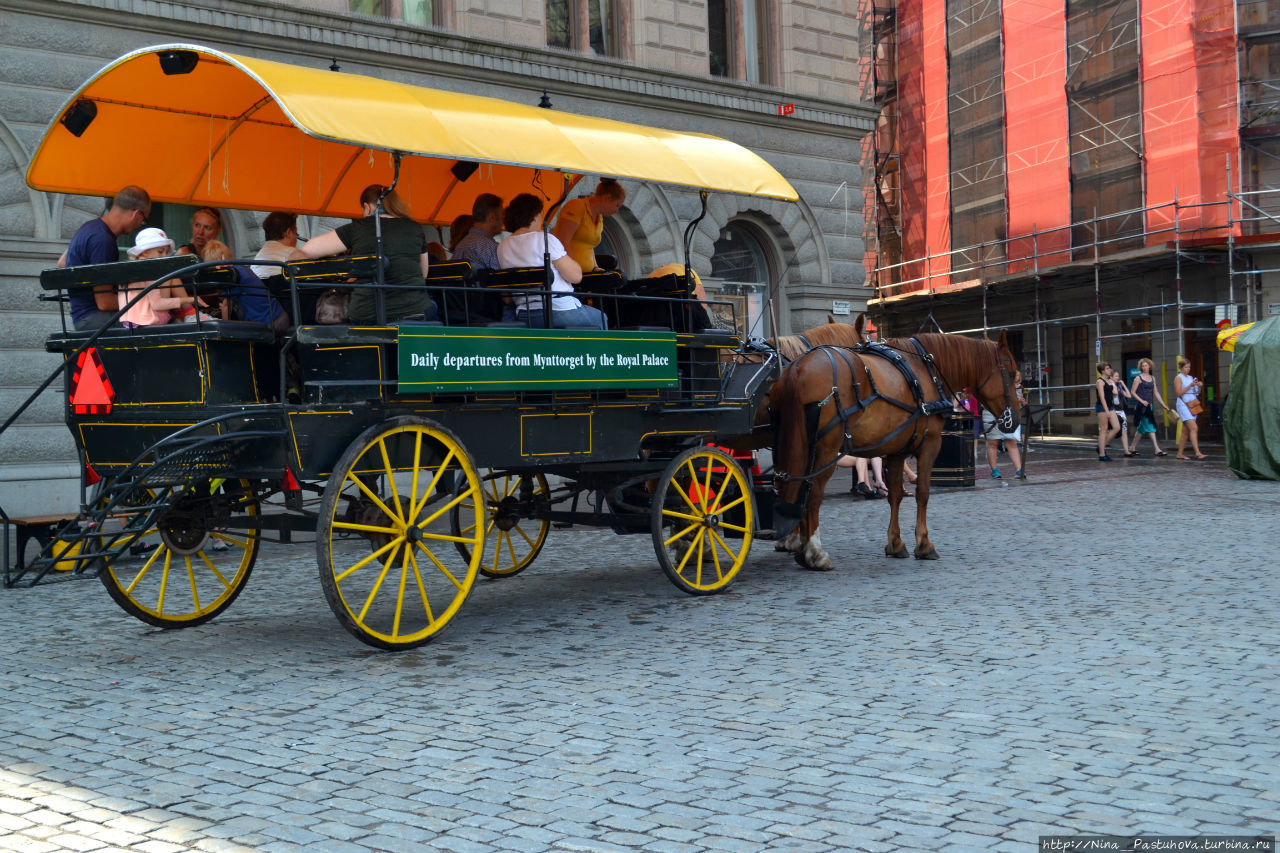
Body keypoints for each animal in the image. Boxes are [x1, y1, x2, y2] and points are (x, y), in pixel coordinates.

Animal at [768, 327, 1018, 568]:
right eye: (1012, 373)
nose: (1015, 419)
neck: (923, 369)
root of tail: (797, 368)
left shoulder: (897, 450)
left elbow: (895, 495)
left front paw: (896, 543)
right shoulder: (930, 444)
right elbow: (923, 493)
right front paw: (924, 544)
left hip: (793, 446)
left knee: (791, 488)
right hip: (826, 450)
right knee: (812, 494)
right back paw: (815, 552)